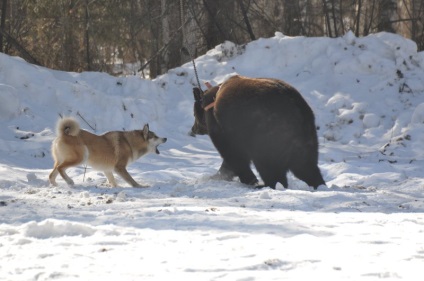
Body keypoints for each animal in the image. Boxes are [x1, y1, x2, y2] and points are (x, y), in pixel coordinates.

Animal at [190, 74, 326, 189]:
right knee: (305, 165)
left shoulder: (224, 128)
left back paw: (267, 184)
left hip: (265, 132)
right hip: (305, 134)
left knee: (269, 165)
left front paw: (248, 179)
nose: (193, 129)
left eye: (194, 115)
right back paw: (318, 184)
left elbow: (232, 155)